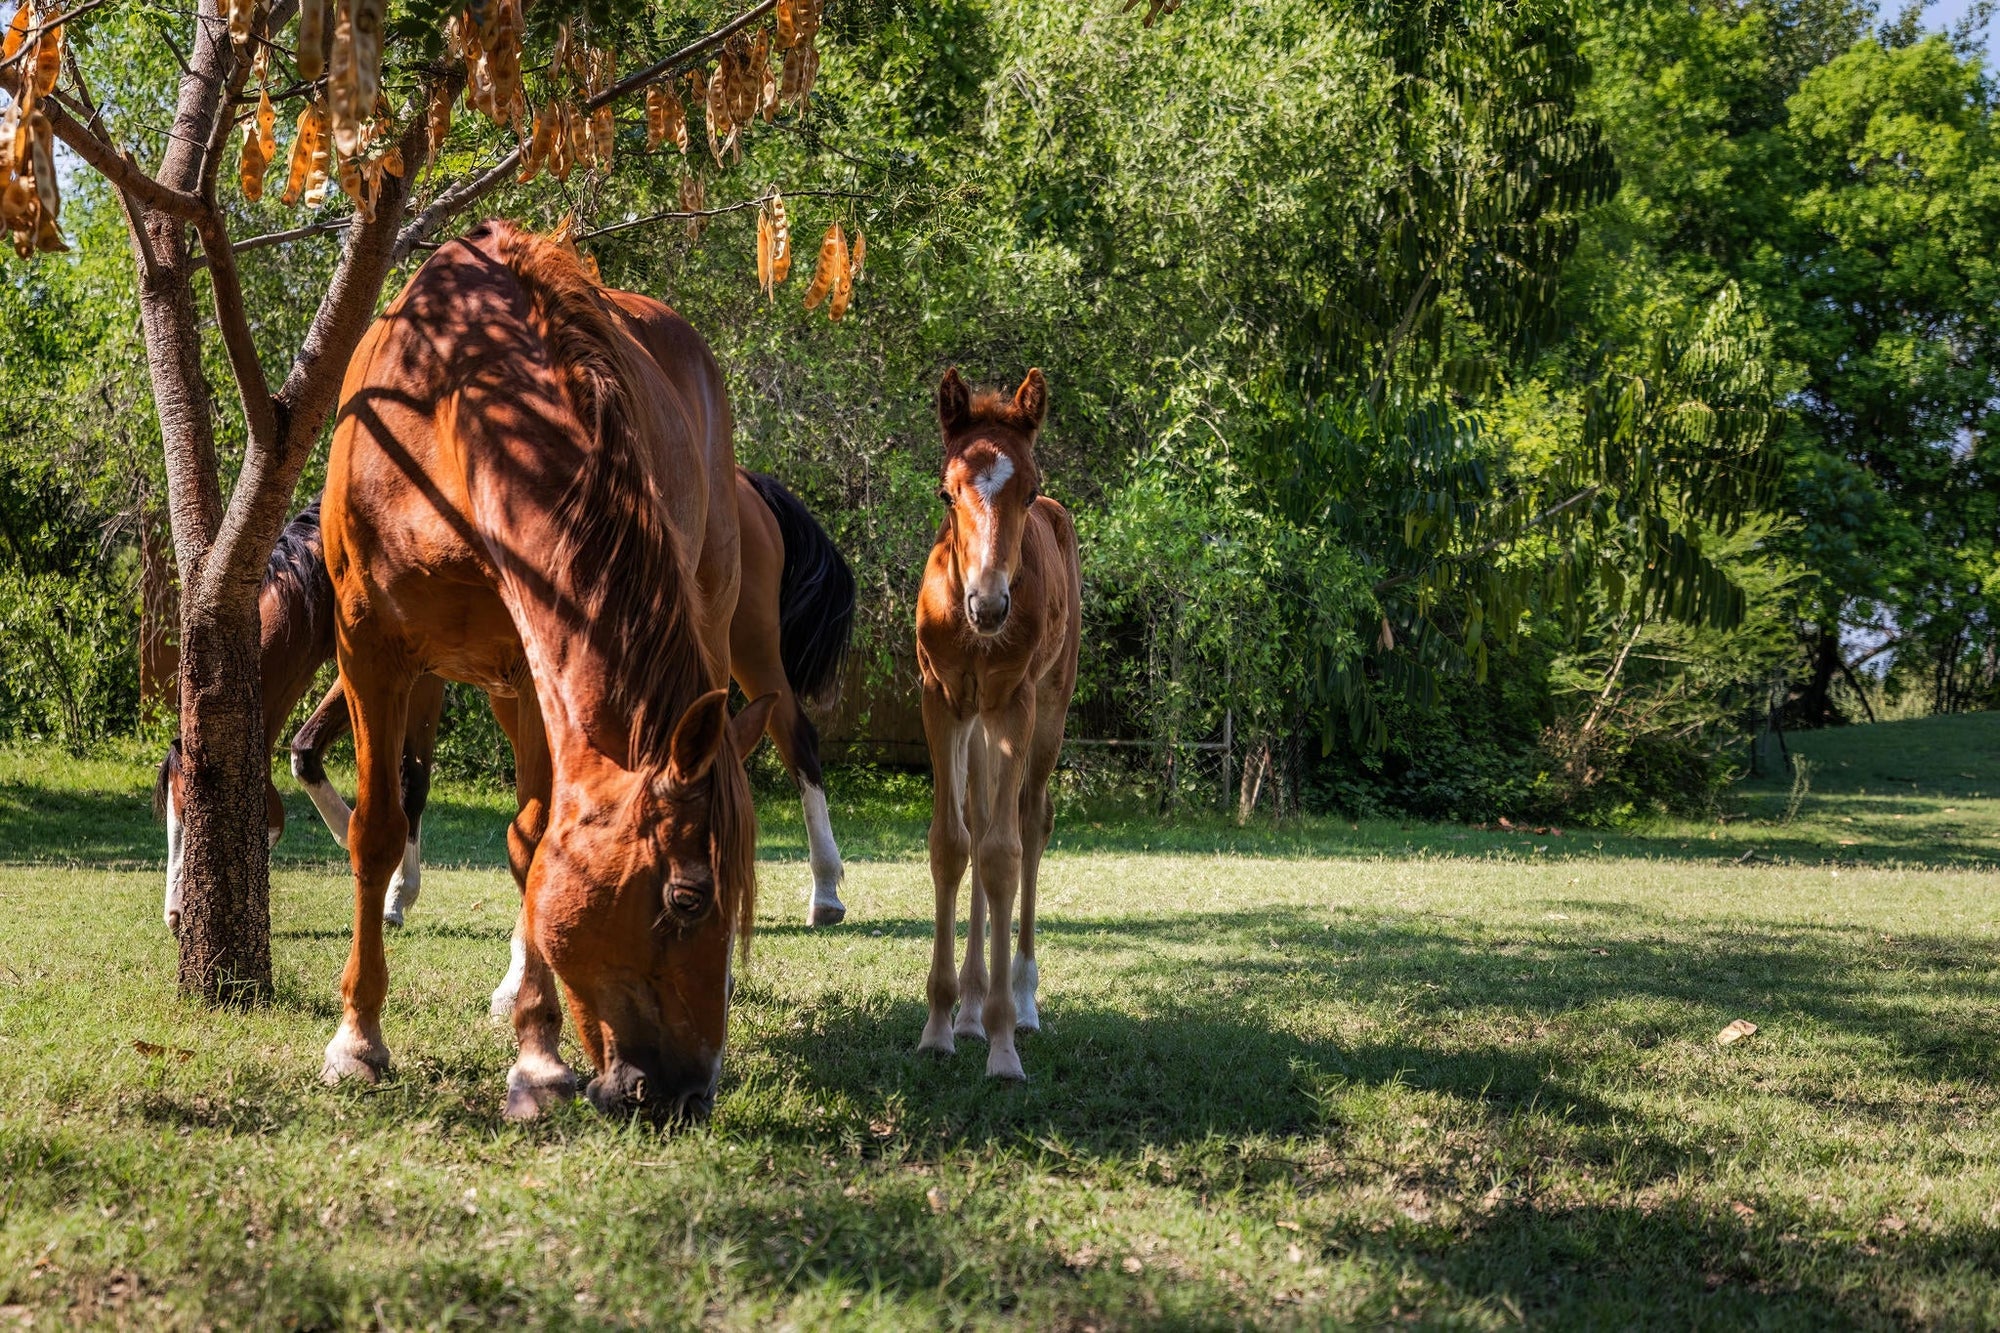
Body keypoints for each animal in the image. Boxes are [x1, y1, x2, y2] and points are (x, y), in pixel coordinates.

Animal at [156, 465, 855, 939]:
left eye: (193, 814)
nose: (176, 915)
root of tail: (750, 486)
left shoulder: (420, 677)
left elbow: (409, 780)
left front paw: (395, 891)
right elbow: (307, 753)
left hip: (749, 648)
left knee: (797, 740)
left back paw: (825, 890)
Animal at [321, 219, 766, 1123]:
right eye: (685, 898)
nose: (689, 1091)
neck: (448, 404)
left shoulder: (533, 669)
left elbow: (533, 846)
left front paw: (537, 1054)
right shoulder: (366, 648)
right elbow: (378, 830)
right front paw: (357, 1039)